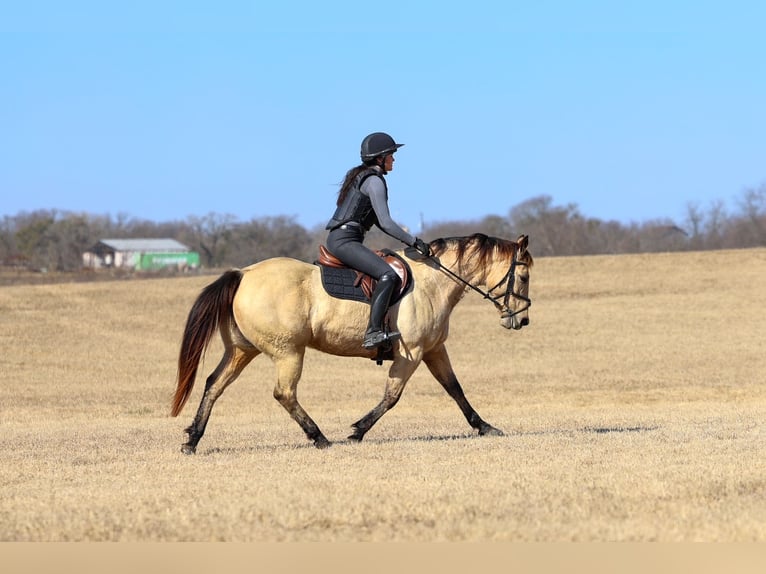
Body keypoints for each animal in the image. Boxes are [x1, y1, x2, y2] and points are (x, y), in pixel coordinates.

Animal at [170, 233, 533, 453]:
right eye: (524, 276)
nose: (522, 320)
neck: (433, 280)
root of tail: (243, 274)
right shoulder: (412, 353)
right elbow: (392, 396)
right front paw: (358, 430)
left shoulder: (433, 350)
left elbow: (455, 390)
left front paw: (485, 427)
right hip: (288, 352)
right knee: (284, 393)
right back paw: (319, 438)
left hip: (242, 350)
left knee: (214, 384)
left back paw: (193, 439)